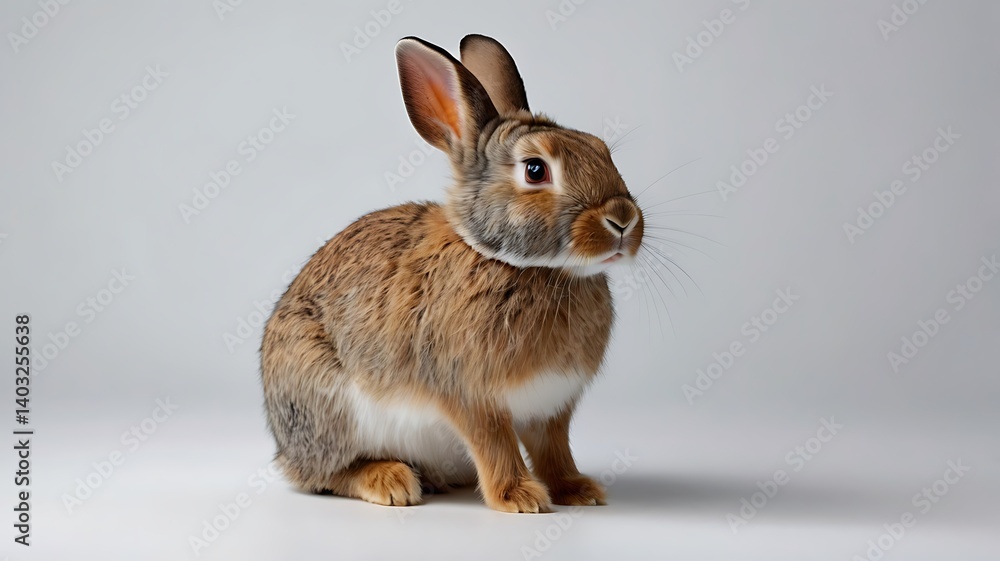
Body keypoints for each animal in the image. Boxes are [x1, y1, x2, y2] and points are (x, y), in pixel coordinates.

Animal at [260, 34, 643, 513]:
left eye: (602, 150)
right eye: (535, 170)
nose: (623, 219)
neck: (527, 266)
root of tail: (283, 447)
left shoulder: (552, 407)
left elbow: (554, 450)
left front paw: (578, 490)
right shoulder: (470, 397)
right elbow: (495, 445)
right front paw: (519, 498)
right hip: (330, 408)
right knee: (325, 474)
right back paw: (390, 481)